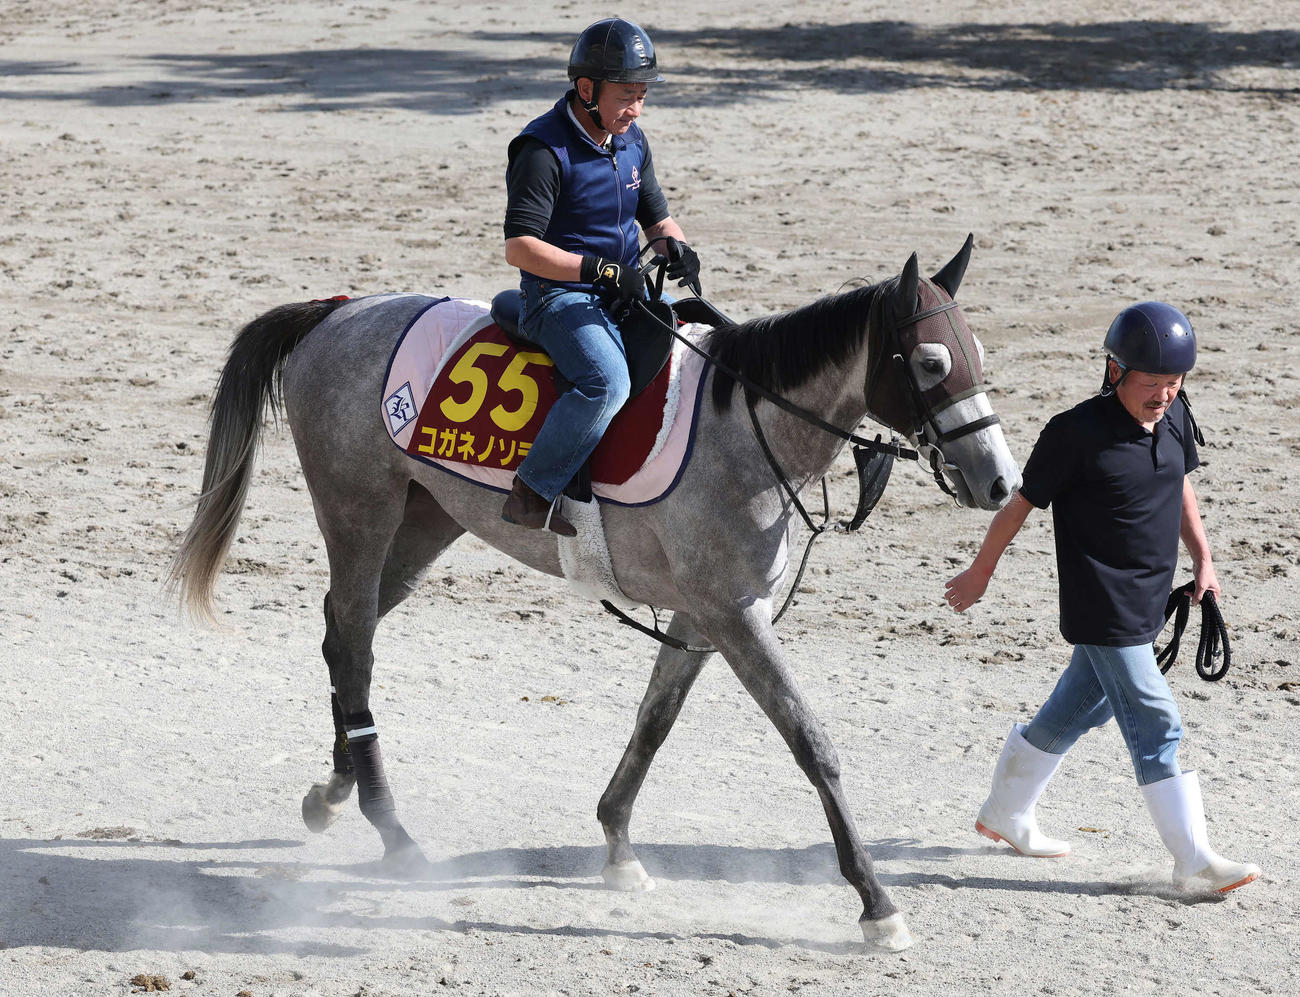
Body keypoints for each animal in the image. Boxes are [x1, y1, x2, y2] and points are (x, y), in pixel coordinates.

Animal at [170, 236, 1021, 952]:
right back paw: (392, 829)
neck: (744, 429)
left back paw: (334, 789)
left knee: (345, 636)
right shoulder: (735, 615)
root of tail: (337, 310)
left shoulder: (703, 615)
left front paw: (616, 844)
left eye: (978, 354)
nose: (999, 481)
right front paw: (877, 901)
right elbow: (813, 742)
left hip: (422, 524)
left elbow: (655, 721)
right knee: (352, 641)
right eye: (932, 363)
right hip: (359, 513)